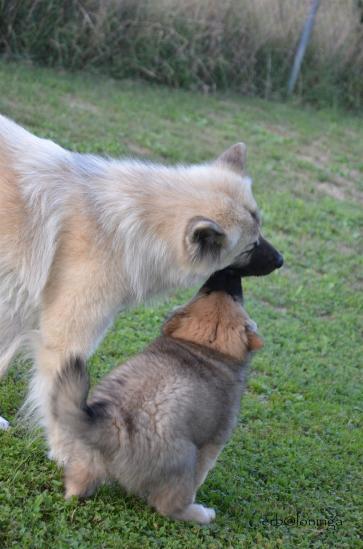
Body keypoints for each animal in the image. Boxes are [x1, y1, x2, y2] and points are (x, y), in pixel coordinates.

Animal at [52, 268, 262, 524]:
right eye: (234, 296)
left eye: (208, 290)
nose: (225, 272)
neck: (204, 345)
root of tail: (113, 426)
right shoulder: (213, 443)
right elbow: (201, 475)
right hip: (184, 459)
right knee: (168, 506)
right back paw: (201, 514)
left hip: (84, 458)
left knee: (75, 487)